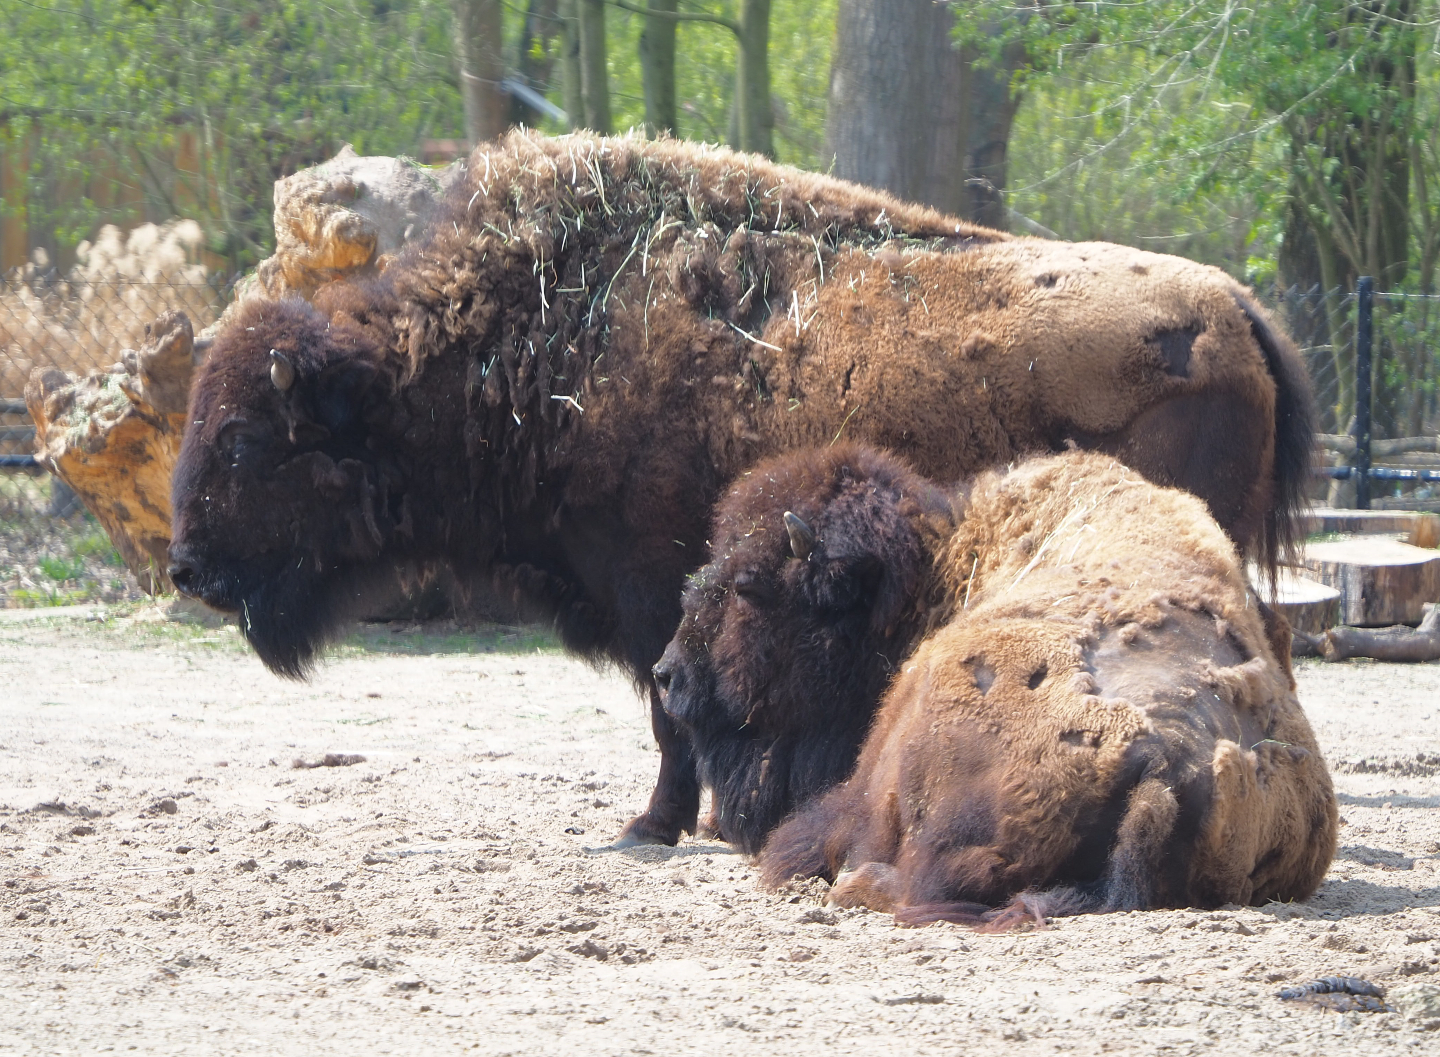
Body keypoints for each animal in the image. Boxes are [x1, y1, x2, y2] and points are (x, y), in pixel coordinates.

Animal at [167, 131, 1314, 845]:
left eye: (240, 440)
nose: (187, 567)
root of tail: (1235, 306)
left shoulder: (652, 595)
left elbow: (673, 708)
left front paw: (655, 823)